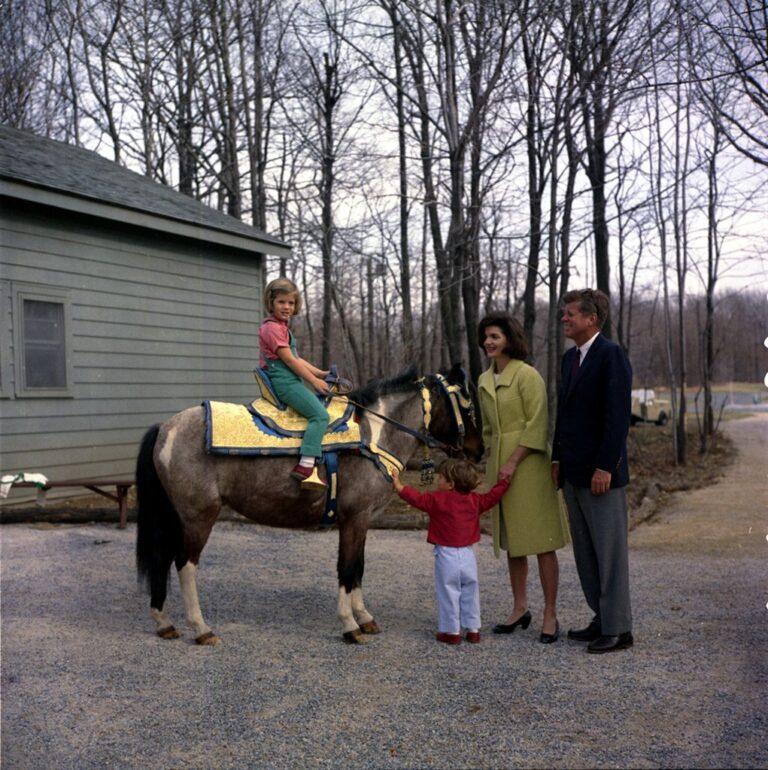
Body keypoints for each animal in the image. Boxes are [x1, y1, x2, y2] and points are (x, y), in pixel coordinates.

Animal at [132, 364, 480, 644]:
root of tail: (165, 428)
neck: (372, 437)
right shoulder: (353, 518)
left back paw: (165, 623)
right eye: (468, 404)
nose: (479, 451)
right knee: (185, 563)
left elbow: (359, 567)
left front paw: (365, 618)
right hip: (198, 516)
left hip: (174, 515)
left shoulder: (364, 520)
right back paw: (202, 628)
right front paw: (350, 625)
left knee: (163, 559)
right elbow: (346, 567)